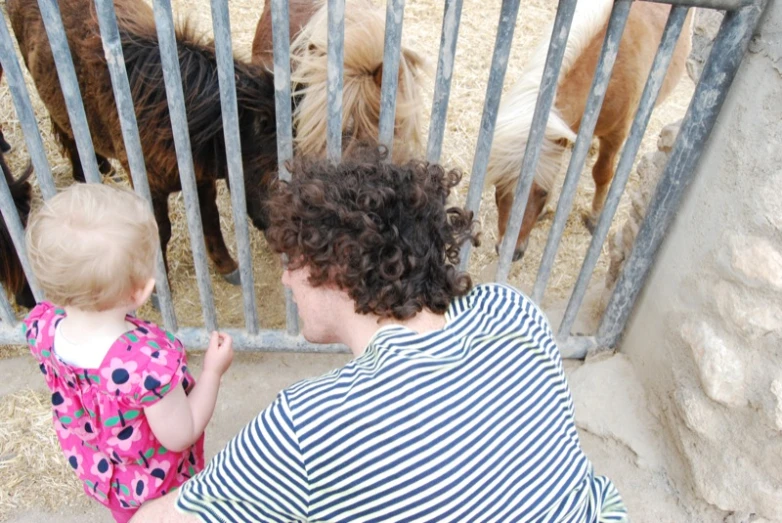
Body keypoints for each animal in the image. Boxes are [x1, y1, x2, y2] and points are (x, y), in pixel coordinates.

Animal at [8, 0, 278, 282]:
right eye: (273, 173)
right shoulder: (149, 184)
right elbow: (160, 231)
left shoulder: (201, 179)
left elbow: (210, 219)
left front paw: (227, 265)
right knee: (68, 134)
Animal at [486, 0, 696, 260]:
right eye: (498, 186)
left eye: (543, 192)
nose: (510, 252)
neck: (606, 72)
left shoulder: (616, 135)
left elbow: (602, 173)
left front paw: (595, 218)